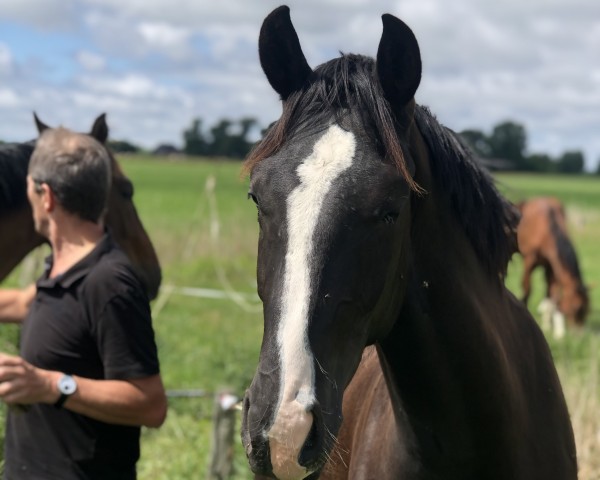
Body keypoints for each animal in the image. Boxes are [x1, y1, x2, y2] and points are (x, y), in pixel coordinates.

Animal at [516, 195, 588, 338]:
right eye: (576, 308)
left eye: (587, 310)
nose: (579, 335)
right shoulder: (529, 261)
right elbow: (527, 289)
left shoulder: (552, 267)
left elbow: (554, 296)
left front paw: (557, 331)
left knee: (548, 291)